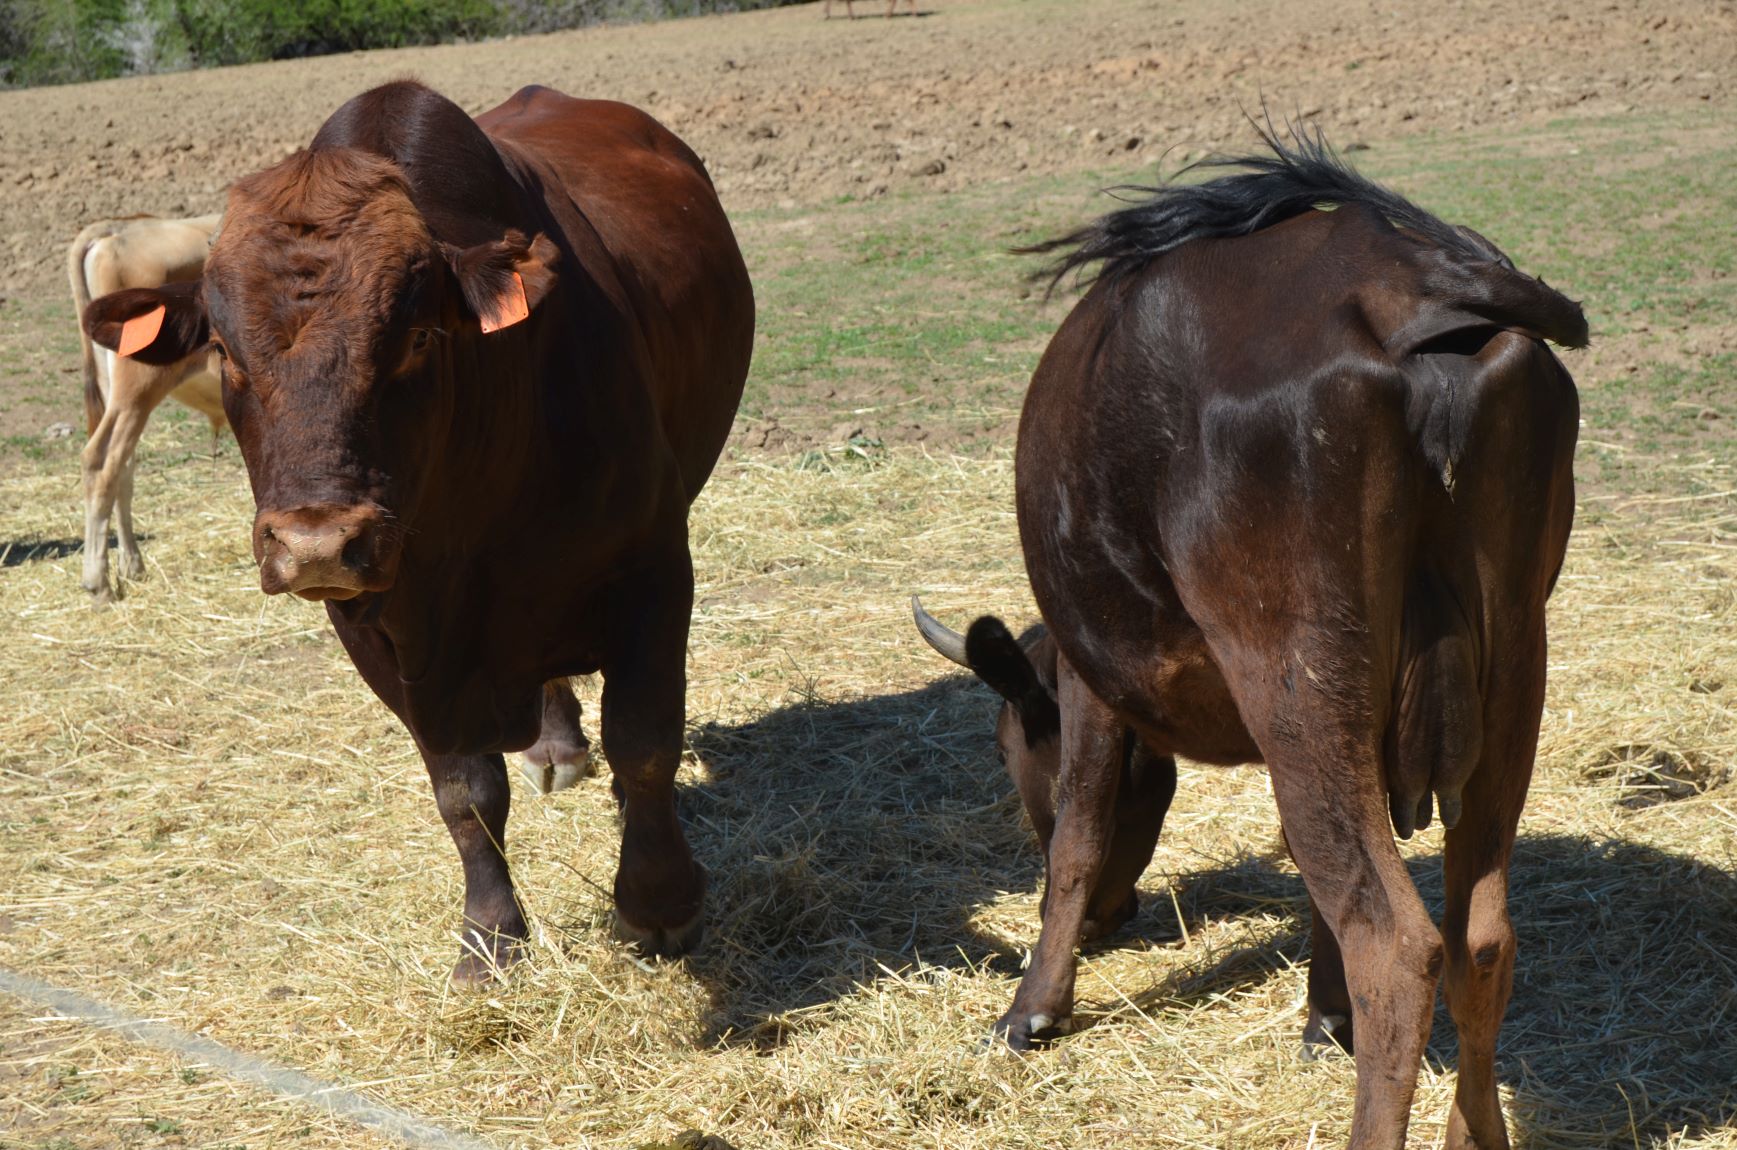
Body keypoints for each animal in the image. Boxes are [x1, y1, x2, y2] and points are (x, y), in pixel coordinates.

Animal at [86, 79, 753, 979]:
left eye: (416, 337)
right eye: (222, 349)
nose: (316, 543)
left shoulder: (652, 565)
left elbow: (644, 744)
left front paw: (658, 903)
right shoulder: (381, 632)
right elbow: (463, 791)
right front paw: (491, 933)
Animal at [924, 128, 1591, 1150]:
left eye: (1008, 753)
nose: (1118, 920)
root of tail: (1410, 282)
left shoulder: (1089, 677)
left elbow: (1077, 830)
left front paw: (1033, 1007)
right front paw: (1321, 1016)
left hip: (1298, 673)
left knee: (1399, 946)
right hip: (1509, 663)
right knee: (1478, 937)